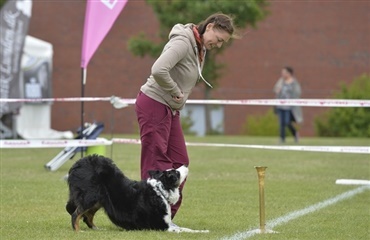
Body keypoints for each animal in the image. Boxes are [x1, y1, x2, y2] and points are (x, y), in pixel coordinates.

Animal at [66, 155, 205, 232]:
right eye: (176, 172)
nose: (185, 164)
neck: (160, 192)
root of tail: (77, 164)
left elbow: (186, 228)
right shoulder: (162, 226)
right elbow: (183, 230)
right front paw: (203, 232)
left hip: (99, 199)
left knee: (88, 216)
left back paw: (96, 229)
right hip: (90, 196)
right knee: (75, 214)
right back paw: (78, 231)